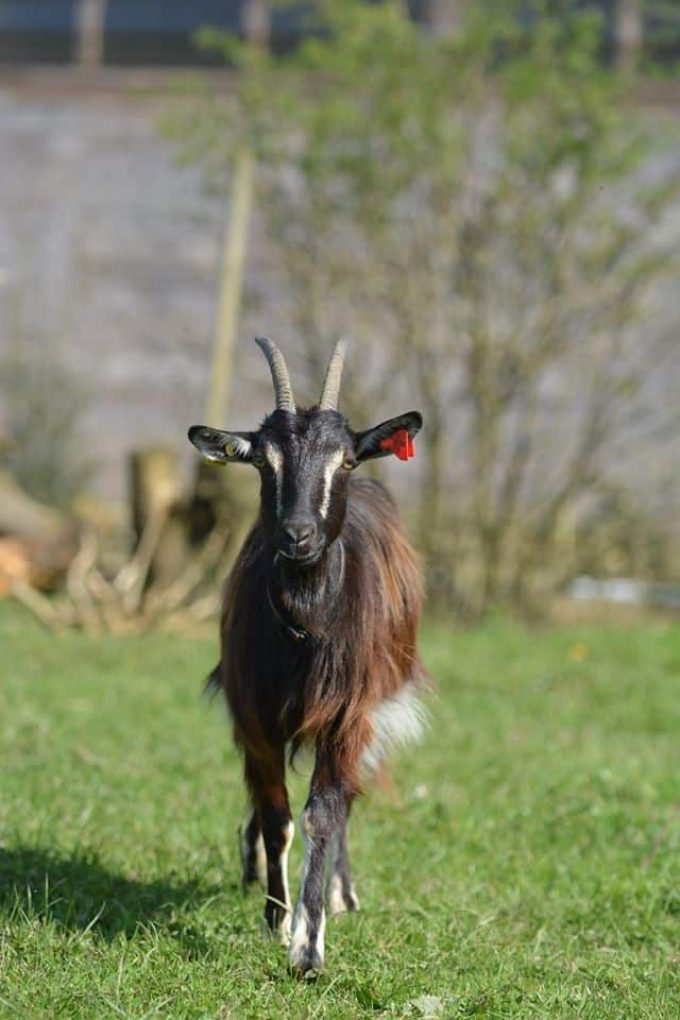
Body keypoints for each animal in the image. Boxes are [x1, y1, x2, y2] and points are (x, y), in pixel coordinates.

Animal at [188, 338, 426, 976]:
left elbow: (324, 813)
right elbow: (278, 818)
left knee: (342, 805)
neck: (305, 629)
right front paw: (275, 918)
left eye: (343, 461)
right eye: (262, 462)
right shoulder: (255, 715)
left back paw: (343, 893)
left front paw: (308, 946)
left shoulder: (348, 715)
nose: (298, 535)